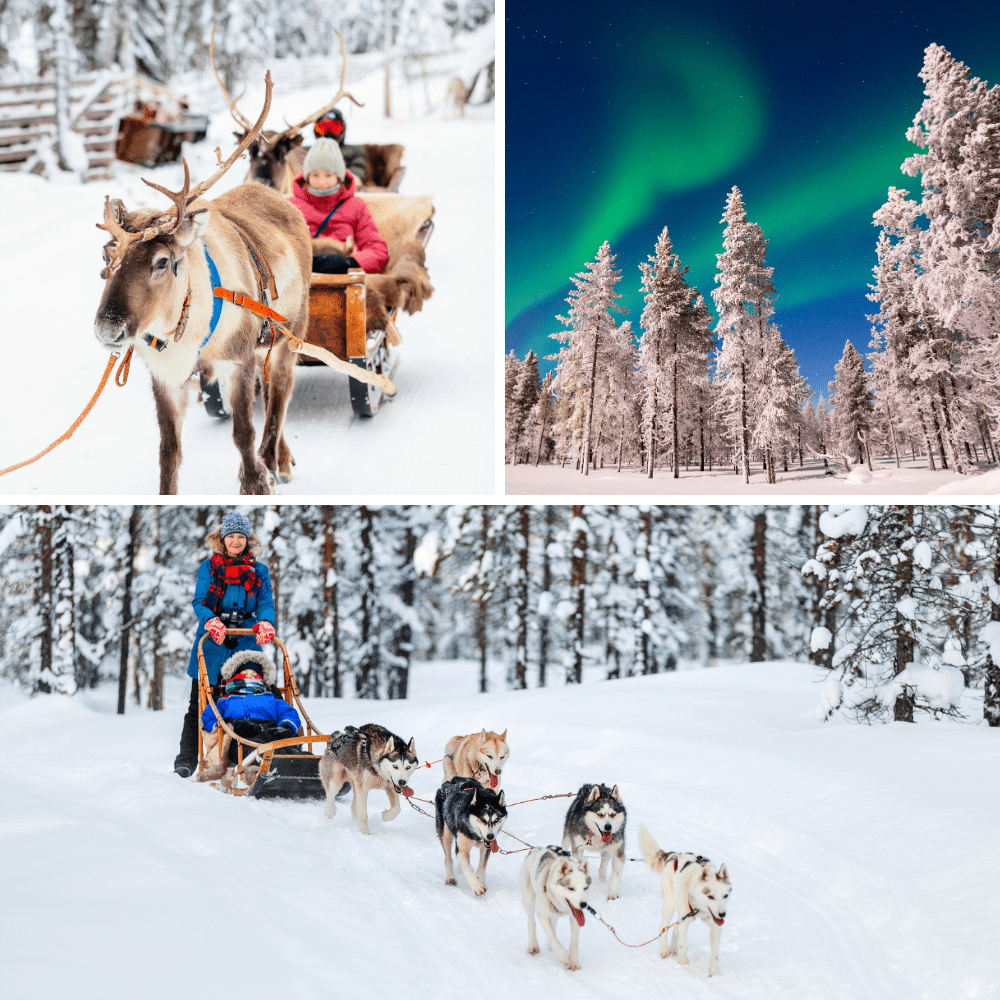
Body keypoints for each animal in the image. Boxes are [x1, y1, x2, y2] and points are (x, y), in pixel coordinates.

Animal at [434, 772, 508, 900]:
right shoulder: (461, 849)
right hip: (446, 834)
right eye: (482, 819)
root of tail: (453, 780)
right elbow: (467, 867)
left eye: (497, 819)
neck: (474, 835)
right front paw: (477, 887)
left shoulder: (486, 847)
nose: (490, 836)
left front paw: (480, 881)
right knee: (448, 857)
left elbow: (482, 866)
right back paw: (451, 878)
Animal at [644, 824, 732, 980]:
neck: (700, 908)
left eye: (725, 896)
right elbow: (683, 944)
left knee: (676, 927)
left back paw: (673, 948)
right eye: (710, 896)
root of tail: (675, 855)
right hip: (671, 903)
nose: (722, 915)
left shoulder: (715, 928)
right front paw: (682, 961)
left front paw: (713, 973)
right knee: (664, 927)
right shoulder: (686, 917)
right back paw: (664, 949)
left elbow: (714, 954)